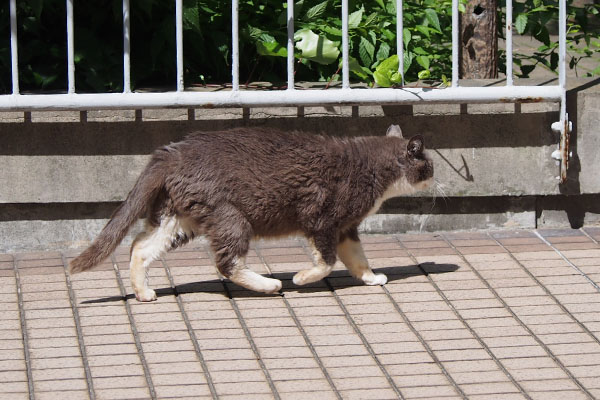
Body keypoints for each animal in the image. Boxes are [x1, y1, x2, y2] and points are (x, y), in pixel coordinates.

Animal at [70, 125, 434, 300]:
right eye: (429, 163)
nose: (435, 175)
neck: (372, 169)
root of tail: (170, 153)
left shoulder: (346, 228)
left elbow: (357, 258)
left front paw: (372, 278)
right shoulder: (322, 220)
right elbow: (327, 262)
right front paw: (301, 277)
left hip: (181, 217)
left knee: (139, 247)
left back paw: (143, 293)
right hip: (230, 217)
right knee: (226, 263)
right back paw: (269, 285)